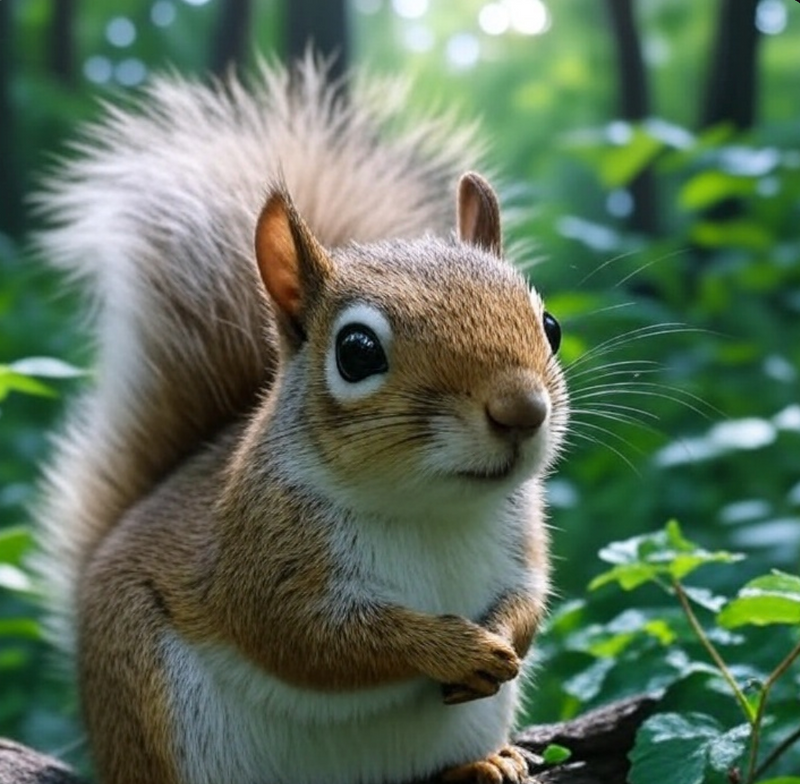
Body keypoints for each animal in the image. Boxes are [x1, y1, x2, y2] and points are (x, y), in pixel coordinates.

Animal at [32, 56, 569, 784]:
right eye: (357, 351)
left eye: (550, 326)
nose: (522, 410)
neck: (430, 511)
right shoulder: (257, 558)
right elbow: (309, 640)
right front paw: (454, 647)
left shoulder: (523, 540)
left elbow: (531, 599)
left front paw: (504, 636)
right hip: (143, 693)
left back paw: (483, 763)